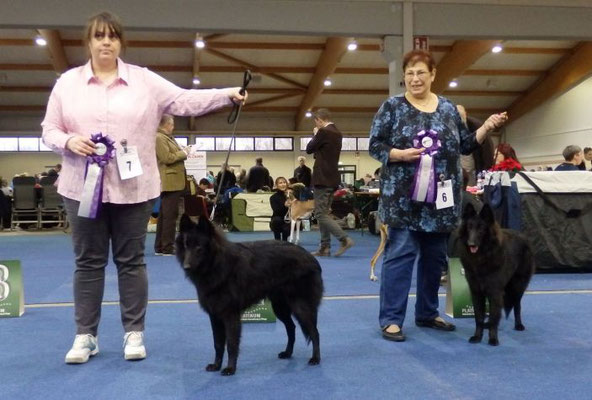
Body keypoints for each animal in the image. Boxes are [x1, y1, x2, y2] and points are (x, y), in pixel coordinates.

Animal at [176, 216, 324, 376]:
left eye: (199, 247)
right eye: (186, 246)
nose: (186, 267)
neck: (217, 264)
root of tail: (311, 257)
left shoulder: (230, 315)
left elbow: (231, 344)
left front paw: (230, 368)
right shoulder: (214, 315)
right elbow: (218, 344)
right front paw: (216, 365)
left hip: (300, 307)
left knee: (315, 332)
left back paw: (315, 358)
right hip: (280, 308)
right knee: (291, 328)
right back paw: (287, 353)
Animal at [456, 205, 536, 346]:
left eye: (481, 229)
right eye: (469, 227)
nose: (471, 244)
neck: (482, 257)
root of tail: (523, 237)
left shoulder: (495, 292)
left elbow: (493, 318)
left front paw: (493, 339)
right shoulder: (476, 292)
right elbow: (479, 317)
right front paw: (477, 337)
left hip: (518, 286)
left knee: (517, 305)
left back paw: (518, 325)